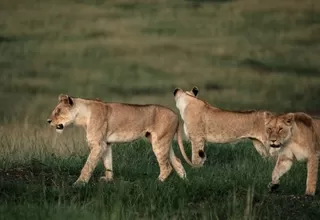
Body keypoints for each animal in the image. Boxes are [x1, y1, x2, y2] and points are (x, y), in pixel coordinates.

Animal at [47, 93, 198, 186]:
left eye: (58, 111)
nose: (48, 121)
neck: (83, 115)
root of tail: (176, 115)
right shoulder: (106, 144)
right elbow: (108, 163)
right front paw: (108, 180)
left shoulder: (97, 145)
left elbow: (88, 166)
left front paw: (79, 183)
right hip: (164, 142)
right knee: (177, 161)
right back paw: (185, 182)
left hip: (159, 143)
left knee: (166, 167)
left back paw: (157, 182)